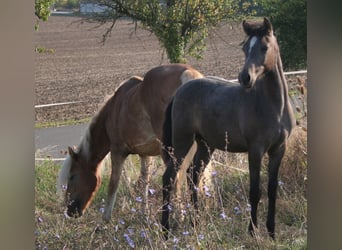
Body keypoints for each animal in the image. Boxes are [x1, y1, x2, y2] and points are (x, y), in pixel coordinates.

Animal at [56, 63, 203, 222]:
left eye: (72, 176)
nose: (70, 211)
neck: (113, 108)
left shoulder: (117, 151)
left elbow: (113, 184)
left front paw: (105, 219)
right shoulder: (145, 155)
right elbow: (145, 181)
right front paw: (144, 214)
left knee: (175, 180)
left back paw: (179, 218)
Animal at [161, 17, 296, 238]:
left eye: (264, 47)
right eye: (244, 48)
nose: (245, 78)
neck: (274, 106)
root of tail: (179, 92)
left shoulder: (278, 150)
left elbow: (272, 189)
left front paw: (271, 231)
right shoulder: (255, 150)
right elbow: (255, 190)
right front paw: (252, 231)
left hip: (205, 145)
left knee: (192, 176)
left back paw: (196, 223)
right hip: (182, 142)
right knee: (169, 178)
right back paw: (165, 230)